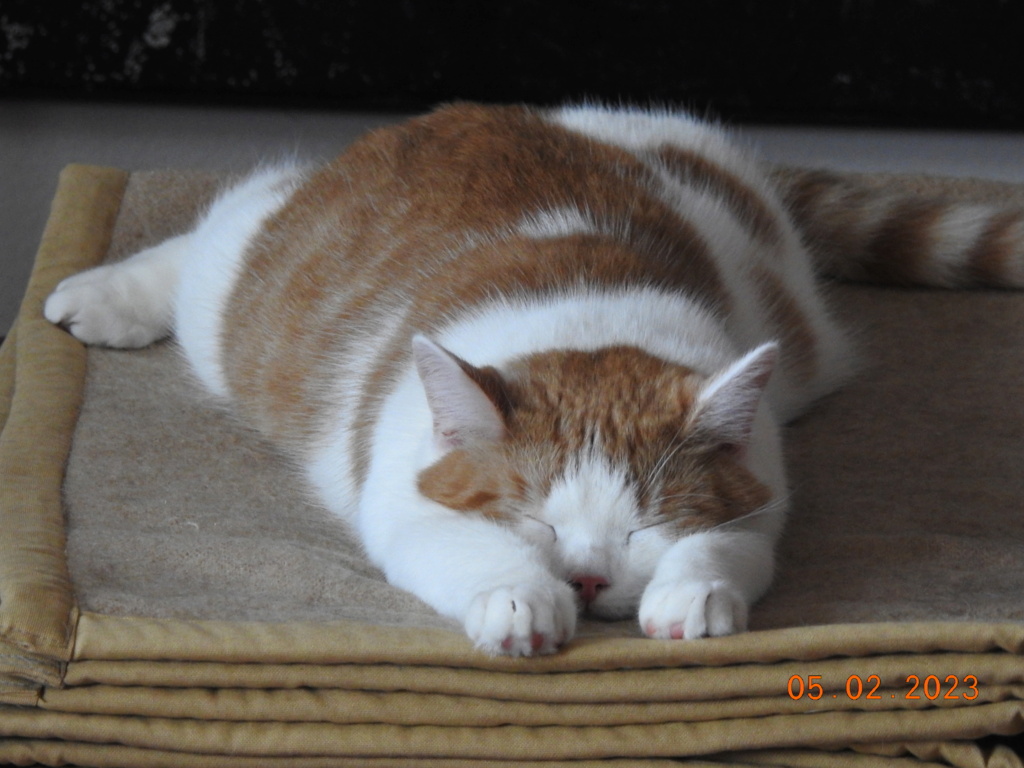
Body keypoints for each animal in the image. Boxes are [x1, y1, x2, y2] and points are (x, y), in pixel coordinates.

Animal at [46, 102, 1024, 655]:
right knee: (220, 232)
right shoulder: (403, 495)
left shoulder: (758, 498)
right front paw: (519, 596)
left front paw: (693, 594)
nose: (585, 580)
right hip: (242, 297)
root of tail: (470, 110)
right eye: (535, 521)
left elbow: (722, 551)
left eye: (641, 531)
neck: (584, 313)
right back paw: (101, 294)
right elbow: (469, 549)